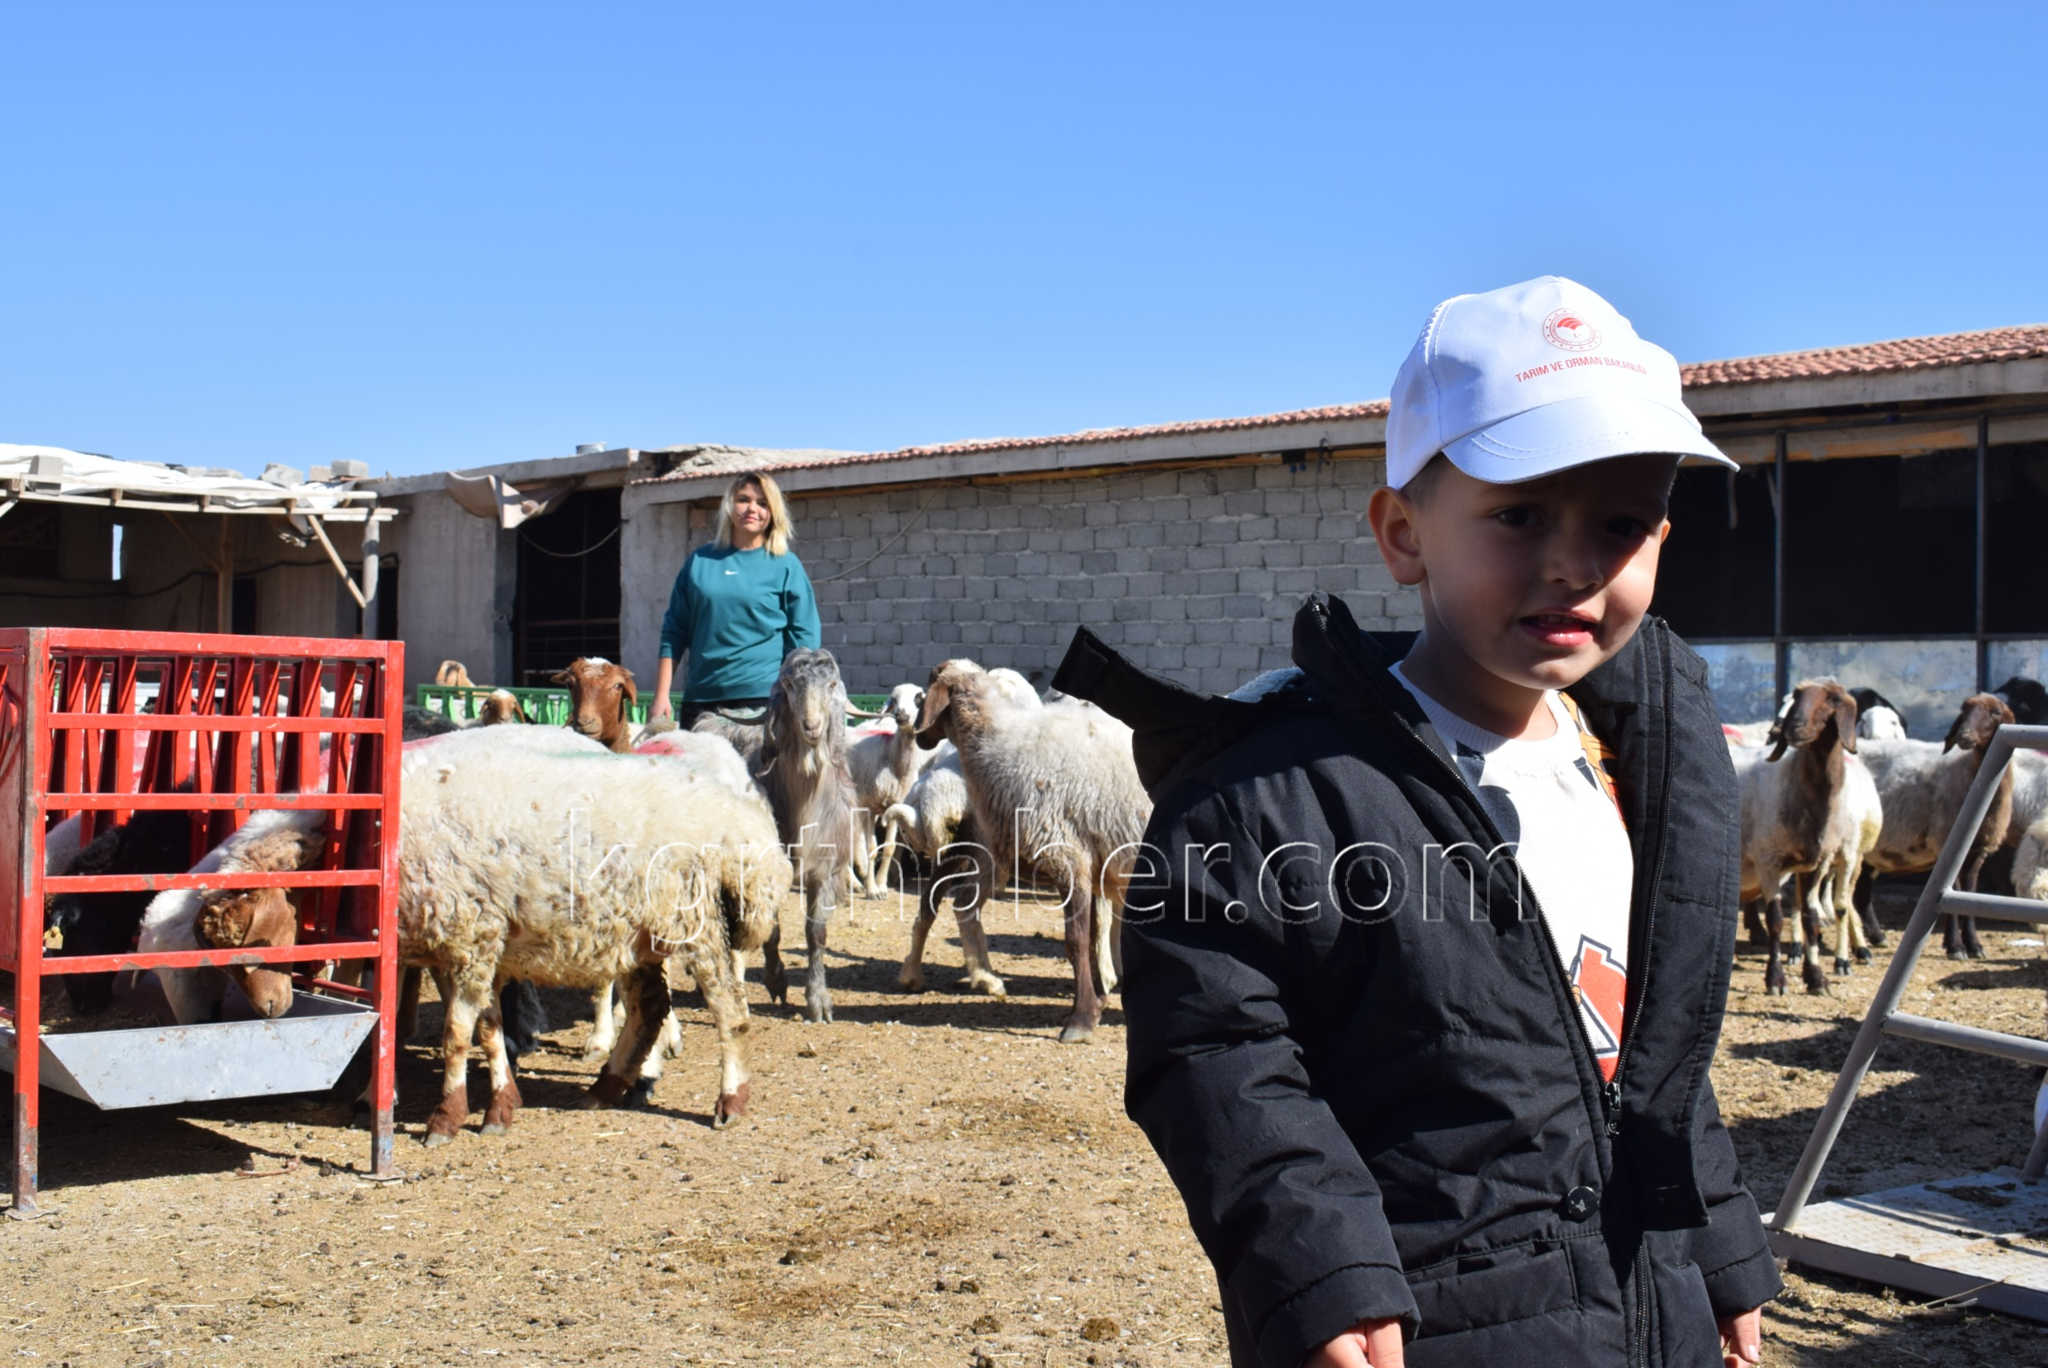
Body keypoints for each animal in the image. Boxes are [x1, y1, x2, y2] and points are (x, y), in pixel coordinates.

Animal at [1736, 679, 1867, 995]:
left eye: (1832, 699)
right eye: (1797, 697)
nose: (1793, 728)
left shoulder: (1815, 865)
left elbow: (1810, 920)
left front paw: (1816, 978)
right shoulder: (1768, 862)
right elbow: (1775, 921)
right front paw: (1775, 980)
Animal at [1859, 696, 2015, 962]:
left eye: (1995, 712)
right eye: (1965, 711)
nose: (1964, 735)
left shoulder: (1977, 853)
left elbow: (1970, 893)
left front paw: (1974, 945)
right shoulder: (1947, 847)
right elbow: (1953, 895)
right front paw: (1956, 947)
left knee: (1858, 895)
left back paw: (1876, 937)